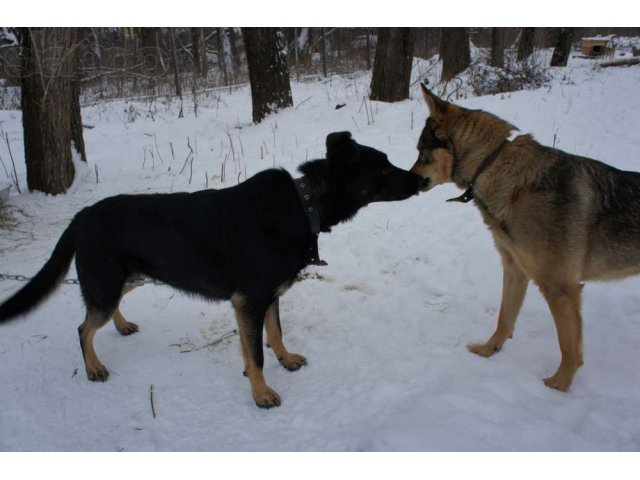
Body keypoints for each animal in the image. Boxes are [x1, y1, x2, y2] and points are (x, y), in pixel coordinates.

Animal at [0, 132, 422, 408]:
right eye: (384, 169)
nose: (420, 178)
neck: (304, 205)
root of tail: (81, 216)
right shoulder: (248, 301)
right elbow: (256, 354)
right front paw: (261, 393)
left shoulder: (268, 297)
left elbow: (275, 334)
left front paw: (286, 359)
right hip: (106, 283)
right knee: (84, 328)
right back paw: (93, 367)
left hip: (127, 278)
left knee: (101, 314)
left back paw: (121, 326)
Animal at [410, 82, 640, 390]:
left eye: (420, 151)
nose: (408, 179)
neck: (492, 165)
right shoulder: (514, 268)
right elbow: (504, 319)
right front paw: (488, 351)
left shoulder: (560, 289)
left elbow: (569, 349)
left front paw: (558, 387)